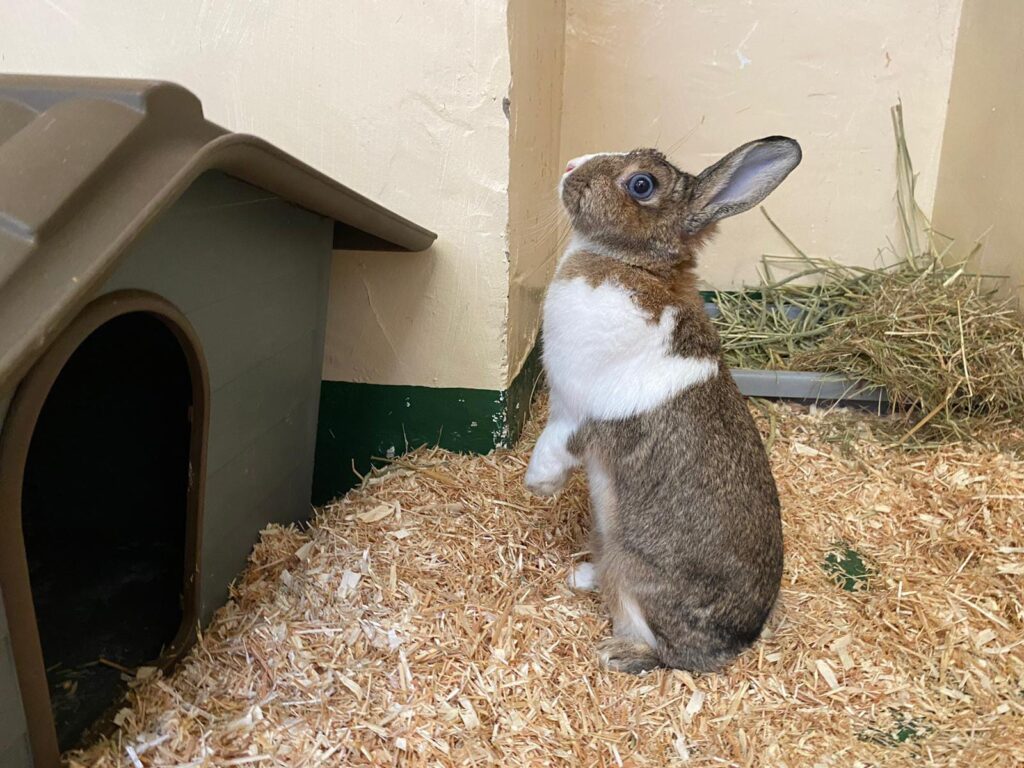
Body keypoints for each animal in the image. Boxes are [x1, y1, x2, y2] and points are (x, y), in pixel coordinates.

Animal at [524, 138, 801, 674]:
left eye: (641, 184)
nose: (569, 166)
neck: (633, 264)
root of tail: (737, 641)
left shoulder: (576, 411)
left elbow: (554, 445)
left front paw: (538, 484)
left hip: (637, 575)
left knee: (662, 652)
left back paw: (615, 651)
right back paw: (584, 576)